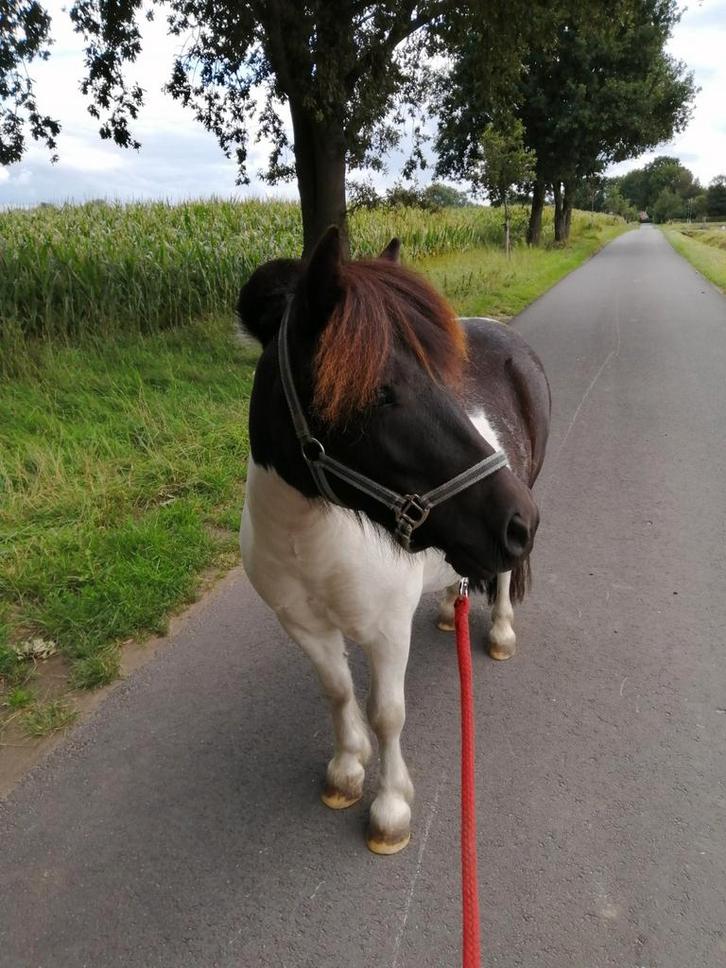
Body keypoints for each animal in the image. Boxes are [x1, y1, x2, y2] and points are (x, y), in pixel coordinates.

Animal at [237, 227, 550, 854]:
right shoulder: (303, 626)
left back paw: (500, 631)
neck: (309, 541)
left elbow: (387, 714)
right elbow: (337, 692)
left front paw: (390, 808)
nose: (520, 522)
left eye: (441, 380)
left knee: (504, 577)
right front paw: (346, 770)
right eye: (381, 393)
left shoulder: (385, 632)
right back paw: (450, 609)